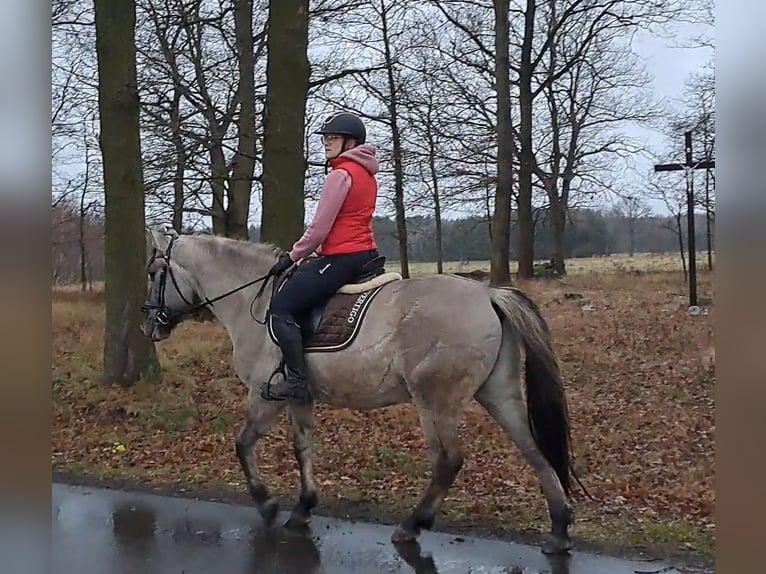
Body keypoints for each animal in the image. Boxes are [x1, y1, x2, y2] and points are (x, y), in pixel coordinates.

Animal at [141, 227, 580, 556]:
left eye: (154, 272)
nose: (149, 324)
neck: (255, 301)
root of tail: (488, 294)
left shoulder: (264, 397)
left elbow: (243, 444)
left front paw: (266, 503)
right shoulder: (298, 396)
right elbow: (303, 447)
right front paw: (302, 508)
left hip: (435, 399)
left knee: (448, 461)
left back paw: (412, 525)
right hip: (497, 393)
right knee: (533, 449)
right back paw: (559, 529)